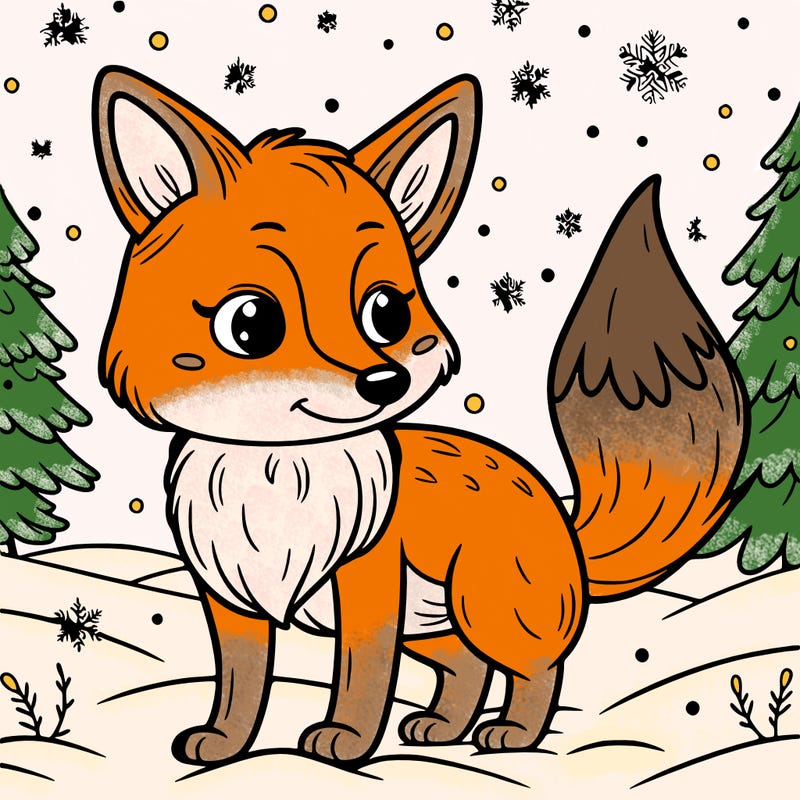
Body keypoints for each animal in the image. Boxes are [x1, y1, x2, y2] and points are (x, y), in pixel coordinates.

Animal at [91, 66, 746, 766]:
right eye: (251, 323)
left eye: (387, 312)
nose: (385, 380)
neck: (277, 469)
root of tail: (558, 511)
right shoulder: (229, 593)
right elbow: (241, 679)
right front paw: (224, 742)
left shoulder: (368, 585)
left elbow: (362, 673)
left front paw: (345, 742)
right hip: (436, 622)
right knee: (466, 668)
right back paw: (442, 728)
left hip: (487, 605)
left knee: (536, 669)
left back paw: (512, 735)